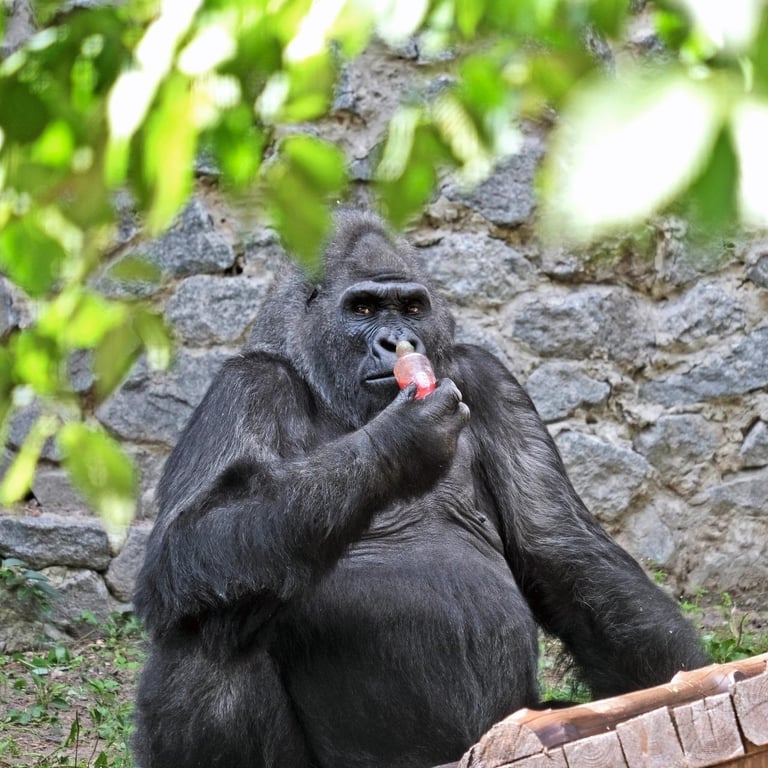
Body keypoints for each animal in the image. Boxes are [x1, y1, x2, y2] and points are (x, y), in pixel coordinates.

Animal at [134, 210, 708, 768]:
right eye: (363, 308)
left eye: (411, 308)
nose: (395, 343)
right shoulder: (245, 385)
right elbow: (187, 537)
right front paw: (398, 442)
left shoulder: (490, 378)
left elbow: (562, 549)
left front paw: (687, 683)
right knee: (207, 623)